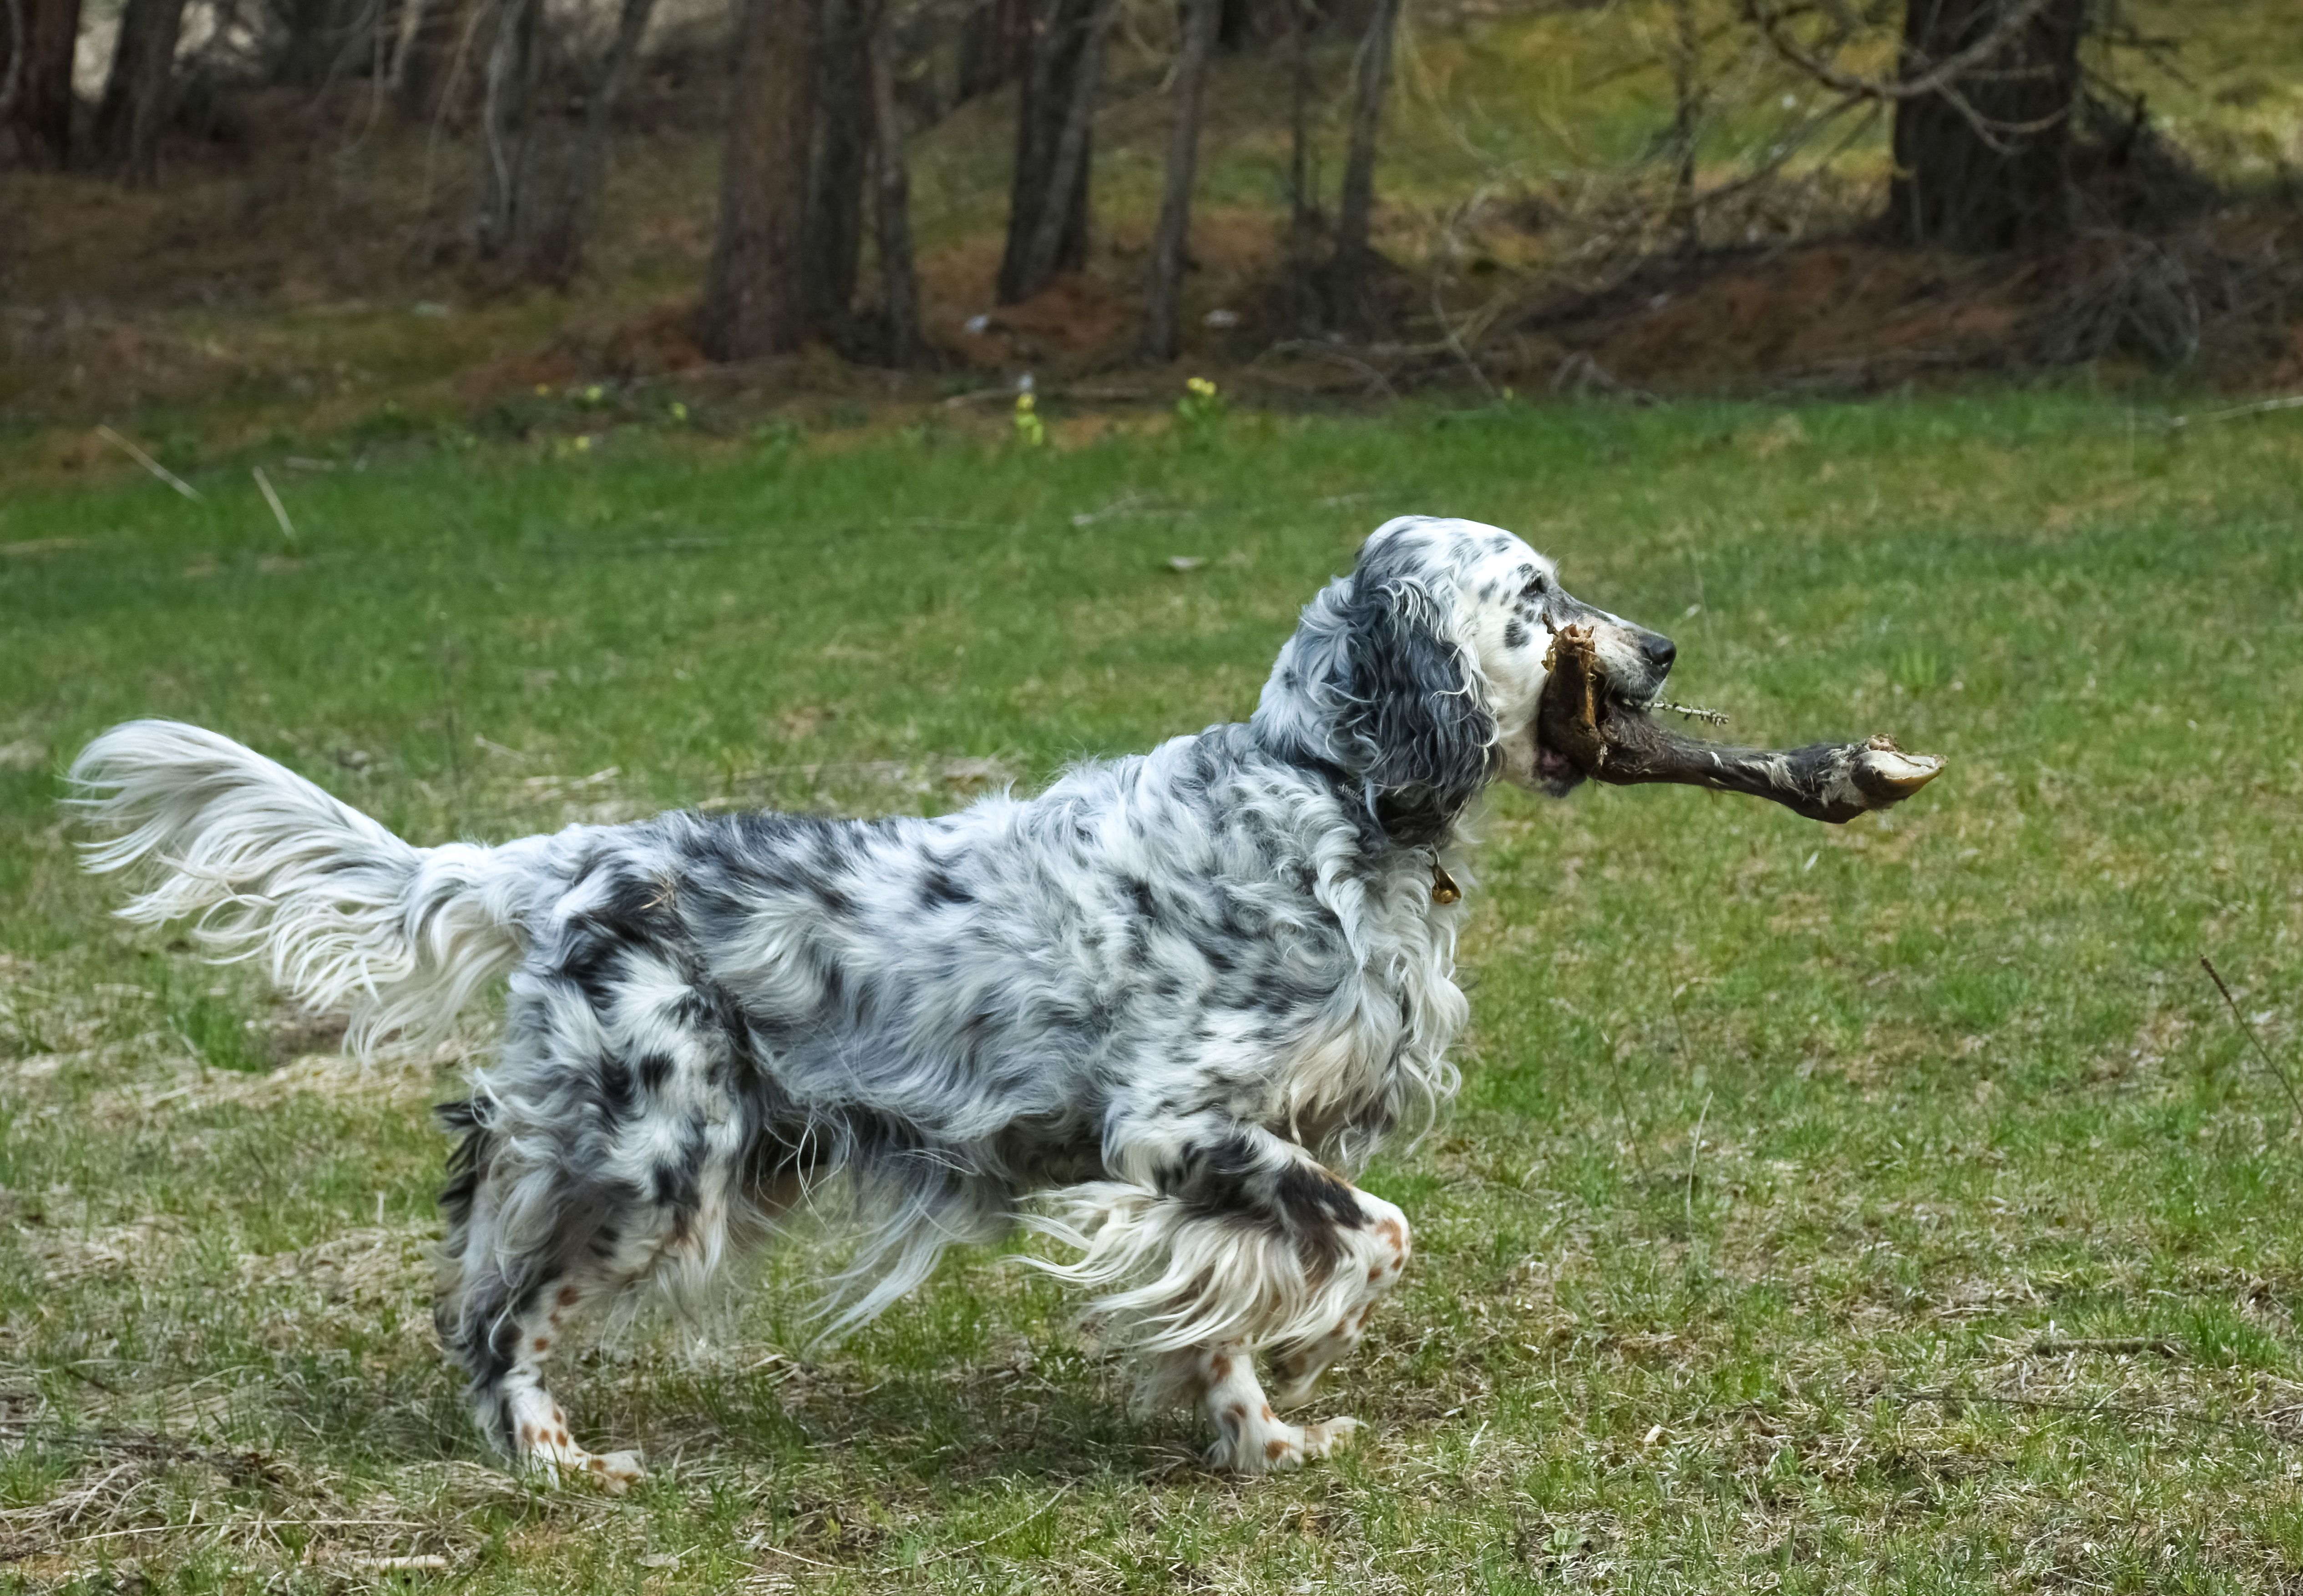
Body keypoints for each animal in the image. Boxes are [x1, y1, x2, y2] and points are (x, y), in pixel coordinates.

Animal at [67, 515, 1676, 1492]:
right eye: (1535, 599)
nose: (1661, 648)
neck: (1326, 786)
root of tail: (570, 858)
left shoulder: (1205, 1158)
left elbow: (1223, 1309)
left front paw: (1259, 1430)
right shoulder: (1175, 1125)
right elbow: (1375, 1236)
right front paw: (1316, 1342)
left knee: (473, 1226)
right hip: (660, 1164)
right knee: (499, 1314)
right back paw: (556, 1460)